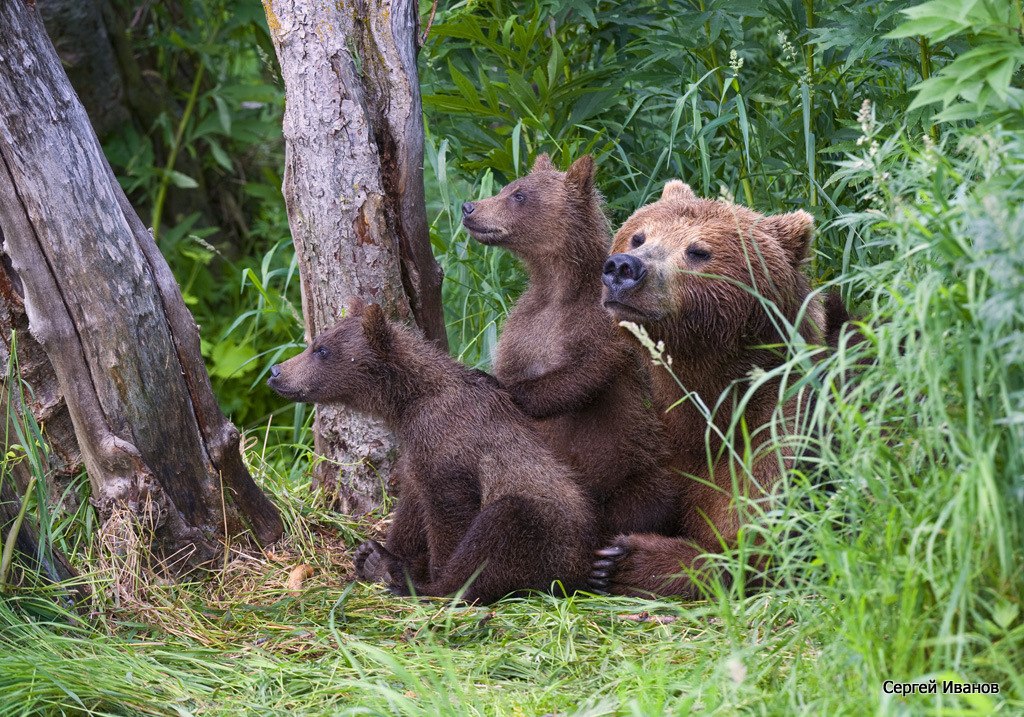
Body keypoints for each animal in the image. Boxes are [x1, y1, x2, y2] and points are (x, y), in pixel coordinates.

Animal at [268, 299, 598, 606]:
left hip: (551, 540)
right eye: (316, 343)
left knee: (504, 524)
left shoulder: (449, 447)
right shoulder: (415, 452)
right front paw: (381, 554)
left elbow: (449, 517)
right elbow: (411, 505)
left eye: (322, 349)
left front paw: (423, 575)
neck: (409, 402)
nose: (275, 371)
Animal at [460, 153, 675, 540]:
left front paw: (500, 387)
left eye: (518, 195)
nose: (470, 208)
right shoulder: (522, 327)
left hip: (636, 470)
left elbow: (584, 374)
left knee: (648, 503)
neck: (557, 289)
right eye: (506, 187)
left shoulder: (601, 325)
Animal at [598, 182, 827, 598]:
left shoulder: (777, 424)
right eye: (638, 237)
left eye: (698, 251)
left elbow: (756, 545)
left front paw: (625, 558)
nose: (624, 267)